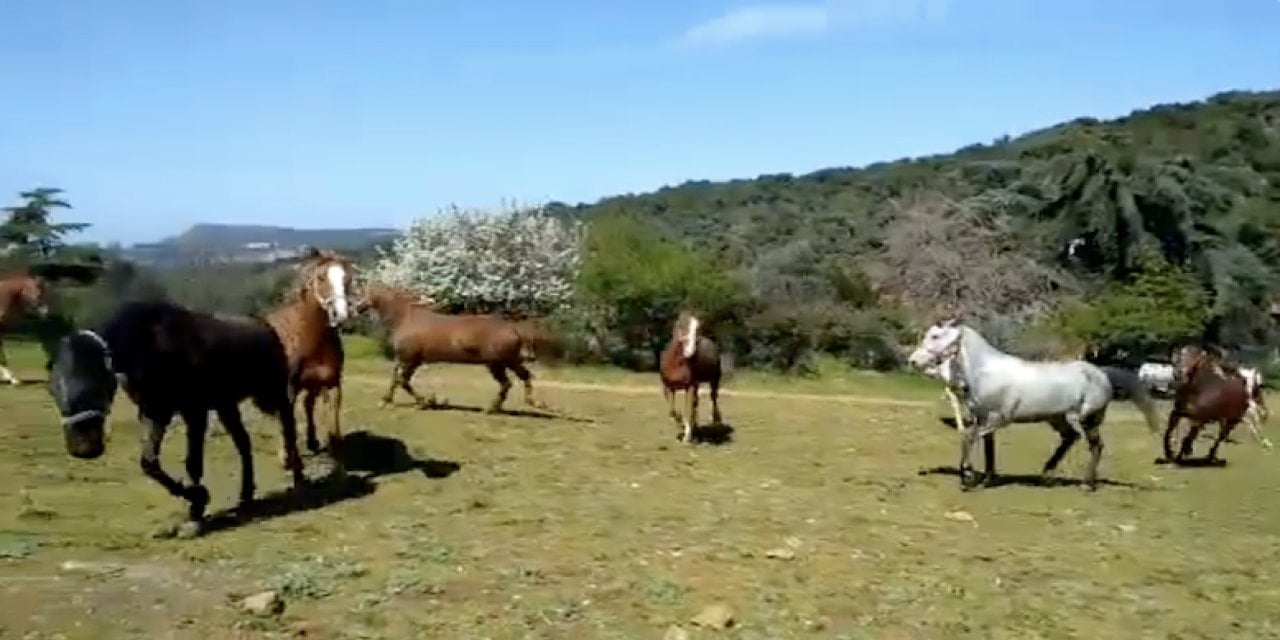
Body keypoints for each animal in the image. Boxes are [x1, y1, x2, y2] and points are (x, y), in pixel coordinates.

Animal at [46, 298, 307, 535]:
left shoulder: (194, 411)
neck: (150, 345)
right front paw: (197, 501)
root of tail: (265, 325)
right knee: (244, 443)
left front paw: (196, 511)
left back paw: (298, 478)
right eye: (53, 390)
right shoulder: (155, 411)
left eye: (94, 385)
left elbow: (193, 462)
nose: (82, 449)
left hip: (272, 392)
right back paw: (246, 495)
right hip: (226, 404)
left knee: (288, 426)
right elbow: (149, 462)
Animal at [264, 248, 353, 465]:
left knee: (308, 405)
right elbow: (289, 423)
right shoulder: (289, 389)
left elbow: (333, 422)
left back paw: (312, 441)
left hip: (313, 385)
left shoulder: (332, 383)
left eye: (347, 278)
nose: (340, 315)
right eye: (321, 277)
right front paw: (290, 457)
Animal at [358, 282, 563, 412]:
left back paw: (492, 408)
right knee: (523, 377)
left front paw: (425, 402)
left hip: (497, 363)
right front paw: (385, 401)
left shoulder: (410, 360)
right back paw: (532, 403)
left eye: (366, 293)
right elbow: (395, 379)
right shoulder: (407, 360)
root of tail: (513, 328)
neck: (406, 318)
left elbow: (402, 381)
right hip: (508, 361)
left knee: (508, 383)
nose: (358, 308)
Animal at [665, 311, 727, 445]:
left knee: (713, 397)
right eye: (681, 326)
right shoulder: (668, 387)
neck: (676, 363)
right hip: (697, 384)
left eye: (698, 329)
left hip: (714, 379)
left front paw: (687, 436)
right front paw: (684, 426)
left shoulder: (689, 386)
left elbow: (688, 410)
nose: (690, 352)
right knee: (696, 403)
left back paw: (714, 420)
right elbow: (672, 411)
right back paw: (696, 426)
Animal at [906, 318, 1167, 488]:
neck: (986, 372)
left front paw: (967, 477)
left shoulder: (996, 419)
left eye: (936, 336)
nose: (913, 361)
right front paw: (987, 478)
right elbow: (987, 448)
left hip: (1087, 419)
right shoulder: (984, 419)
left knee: (1095, 445)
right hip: (1059, 419)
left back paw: (1086, 484)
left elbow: (968, 438)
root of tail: (1102, 374)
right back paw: (1046, 474)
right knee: (1070, 439)